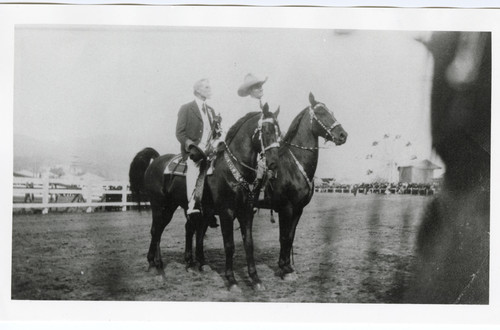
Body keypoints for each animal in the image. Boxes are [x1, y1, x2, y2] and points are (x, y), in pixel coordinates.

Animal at [130, 104, 282, 290]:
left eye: (279, 131)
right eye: (266, 131)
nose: (274, 163)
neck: (233, 168)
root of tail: (157, 160)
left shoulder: (246, 211)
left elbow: (248, 244)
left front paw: (255, 279)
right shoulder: (226, 212)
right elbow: (229, 245)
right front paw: (231, 280)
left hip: (174, 207)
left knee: (176, 230)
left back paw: (166, 263)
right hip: (159, 206)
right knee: (156, 231)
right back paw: (158, 267)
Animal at [262, 93, 348, 278]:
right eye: (321, 112)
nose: (342, 135)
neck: (293, 166)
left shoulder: (298, 209)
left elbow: (290, 237)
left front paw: (288, 266)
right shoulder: (286, 208)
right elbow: (284, 237)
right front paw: (283, 269)